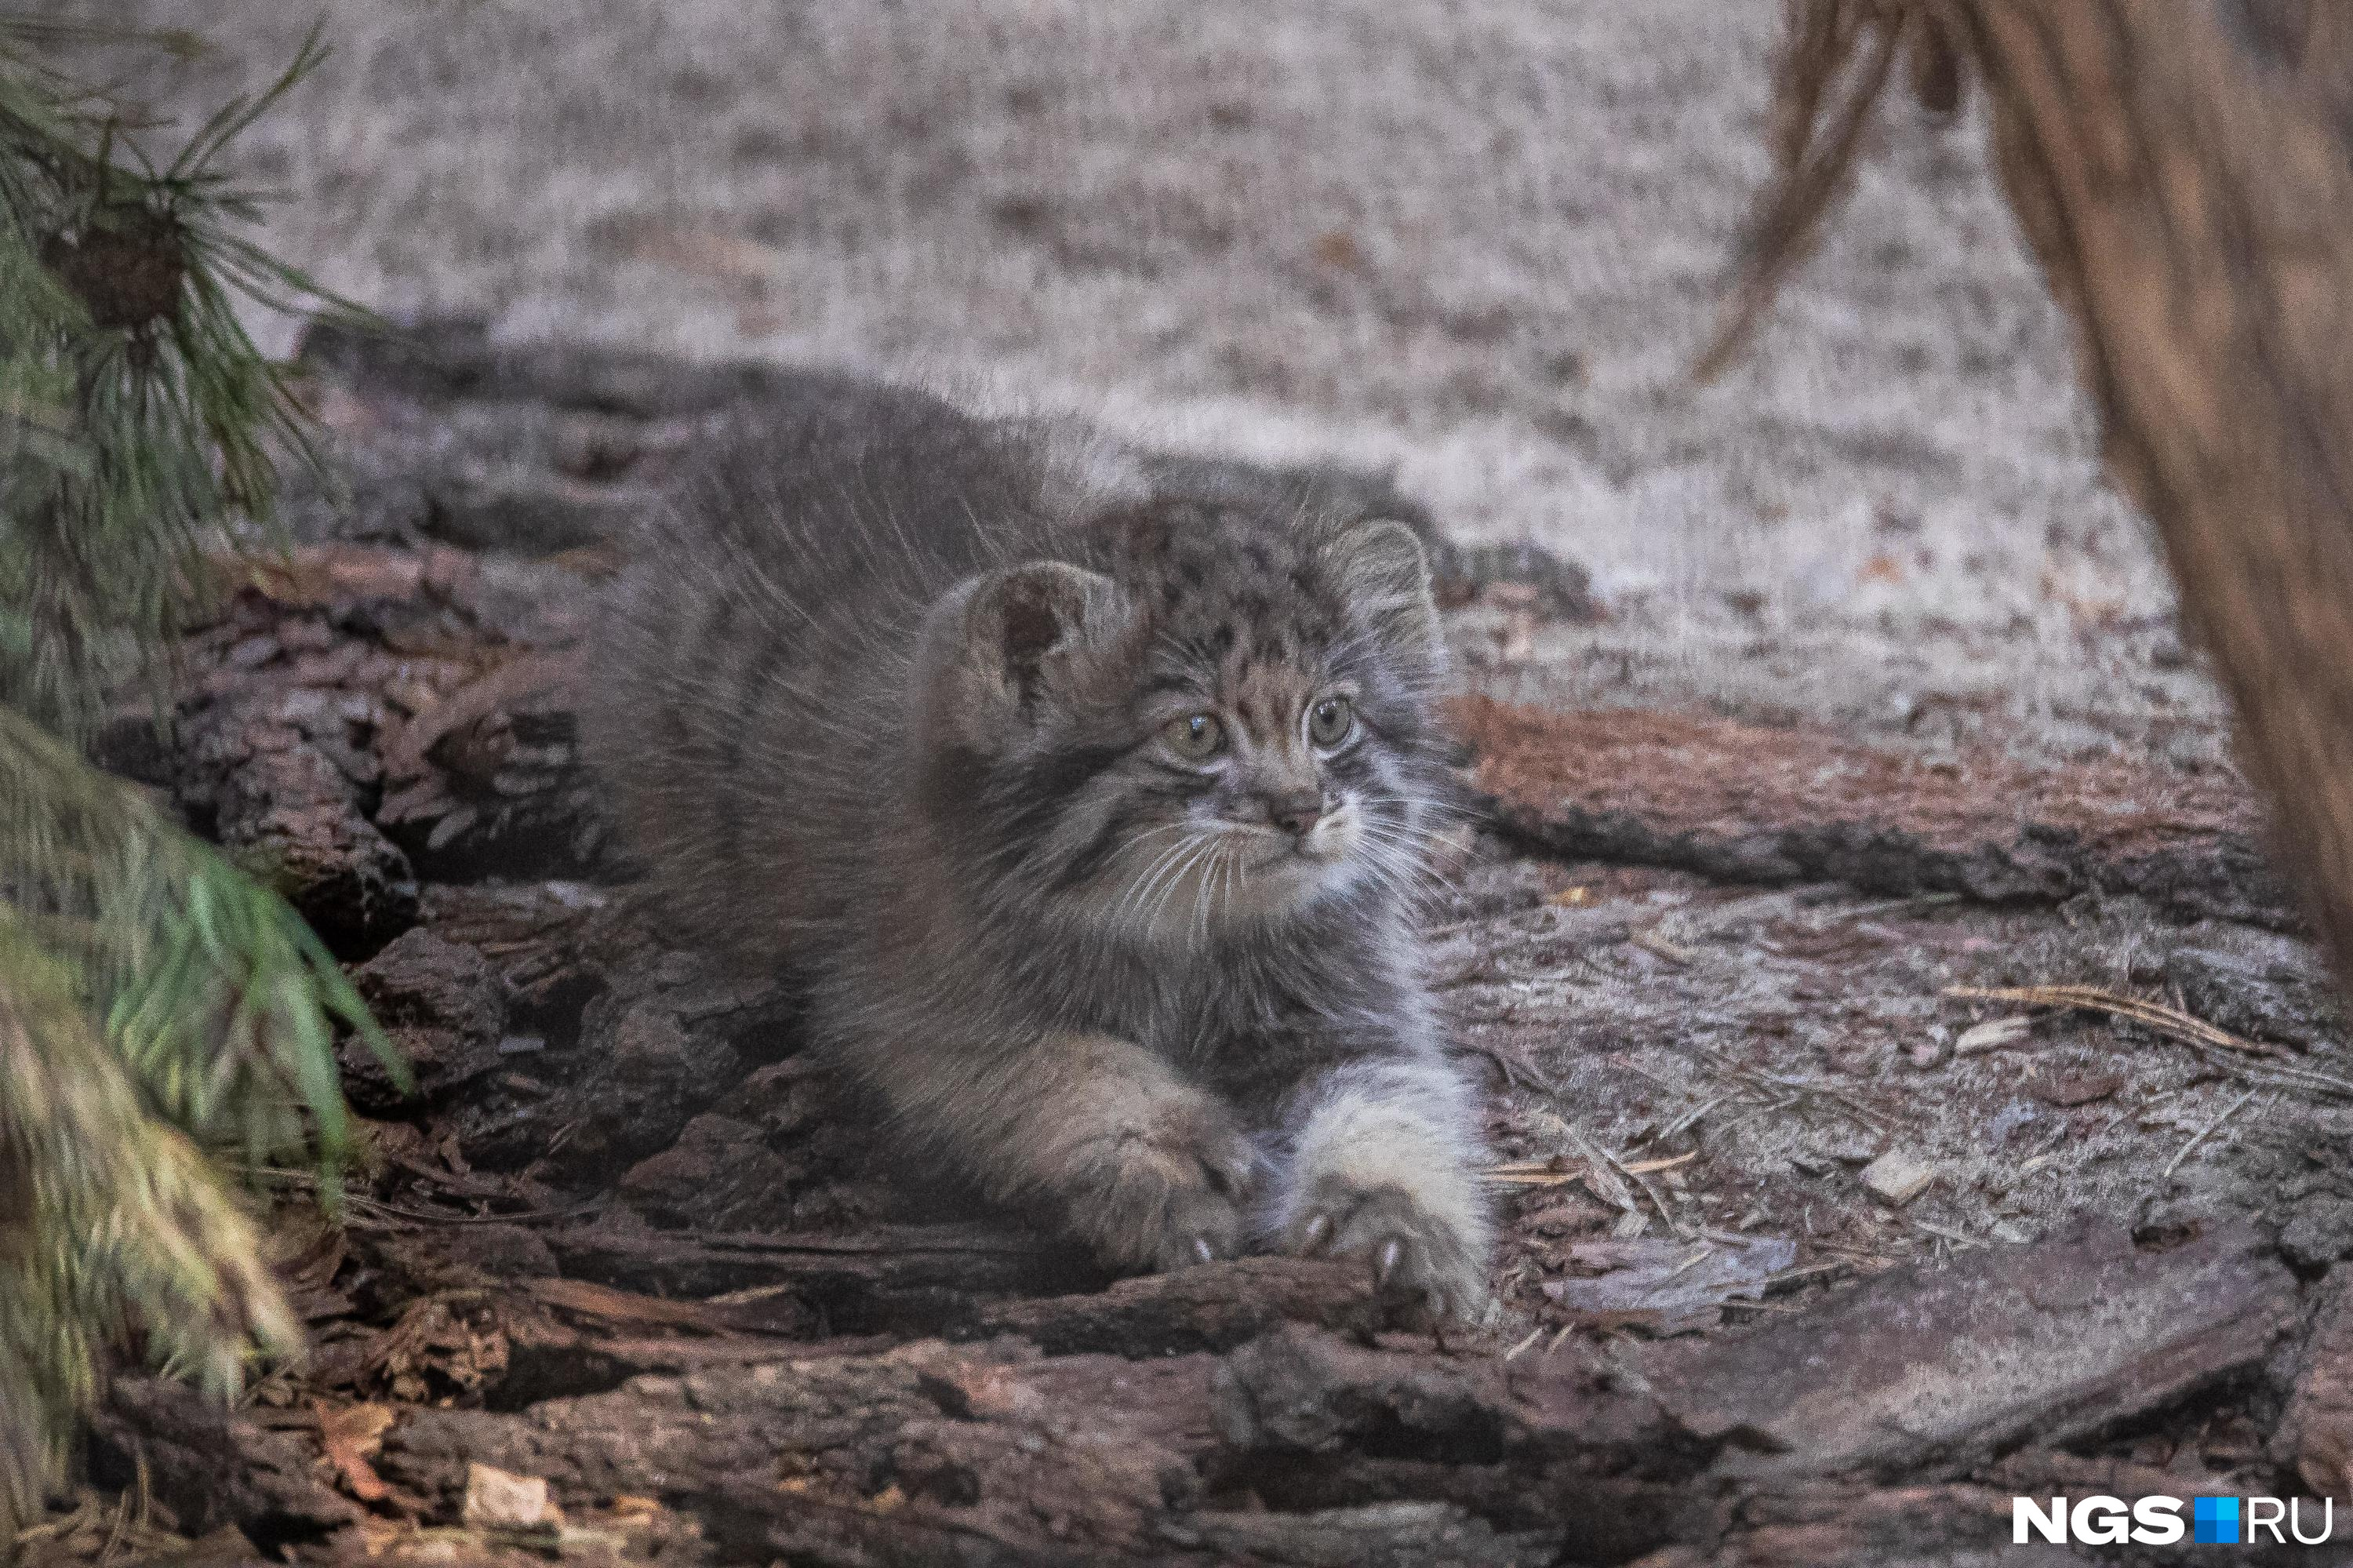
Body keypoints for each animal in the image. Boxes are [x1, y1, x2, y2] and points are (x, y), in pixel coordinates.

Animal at [598, 379, 1497, 1308]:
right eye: (1198, 733)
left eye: (1329, 719)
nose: (1302, 809)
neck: (1183, 933)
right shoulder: (908, 1008)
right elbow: (1067, 1064)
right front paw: (1161, 1153)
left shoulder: (1348, 1005)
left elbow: (1393, 1100)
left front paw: (1392, 1217)